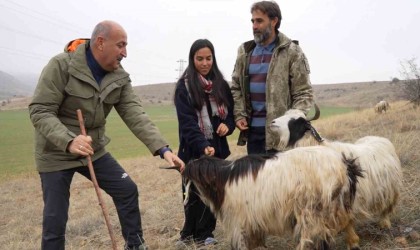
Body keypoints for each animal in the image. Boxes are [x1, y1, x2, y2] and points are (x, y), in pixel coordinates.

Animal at [270, 105, 404, 250]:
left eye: (297, 121)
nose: (272, 122)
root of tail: (378, 138)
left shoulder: (344, 198)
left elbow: (347, 222)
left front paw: (352, 242)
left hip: (391, 187)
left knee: (387, 207)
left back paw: (384, 224)